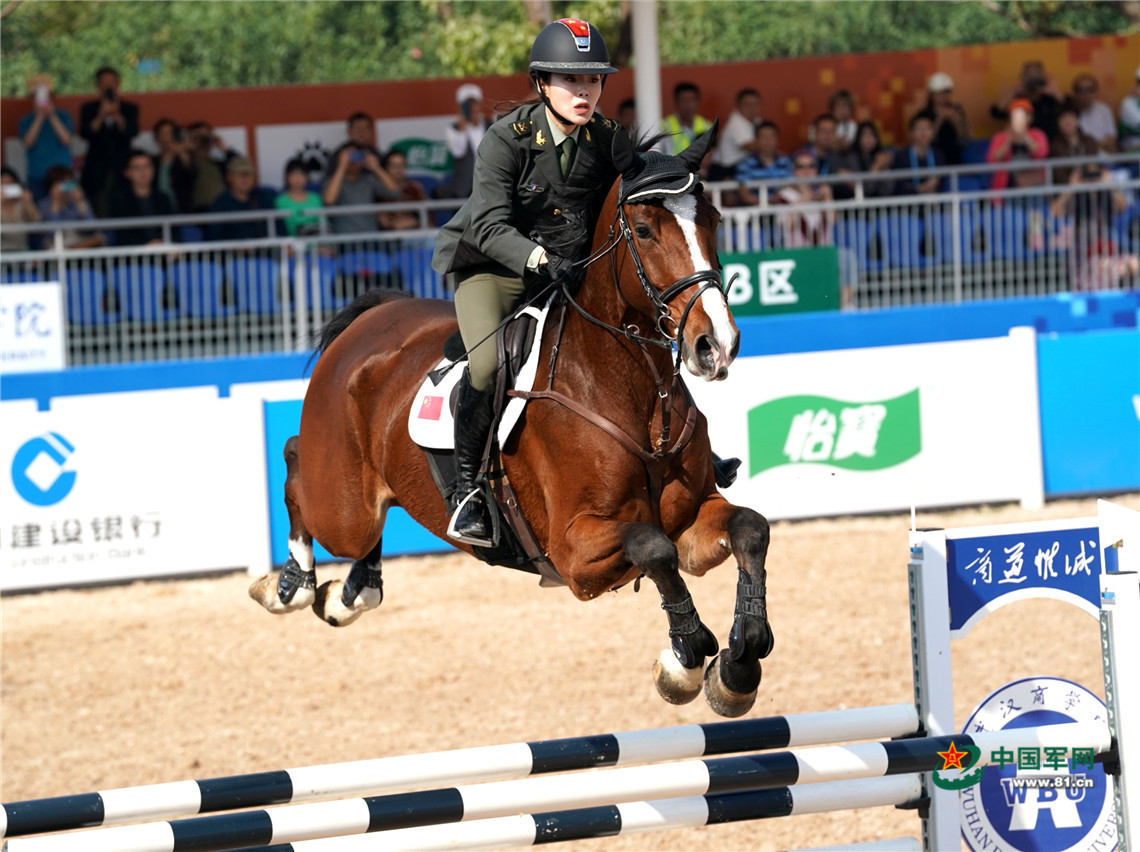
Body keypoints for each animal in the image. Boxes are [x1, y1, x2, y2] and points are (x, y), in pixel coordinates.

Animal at [249, 123, 775, 716]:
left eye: (713, 220)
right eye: (642, 230)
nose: (716, 346)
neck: (633, 389)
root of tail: (369, 320)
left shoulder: (692, 521)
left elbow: (750, 529)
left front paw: (738, 665)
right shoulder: (575, 552)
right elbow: (651, 546)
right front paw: (684, 661)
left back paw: (356, 587)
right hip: (342, 504)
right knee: (298, 464)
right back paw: (290, 584)